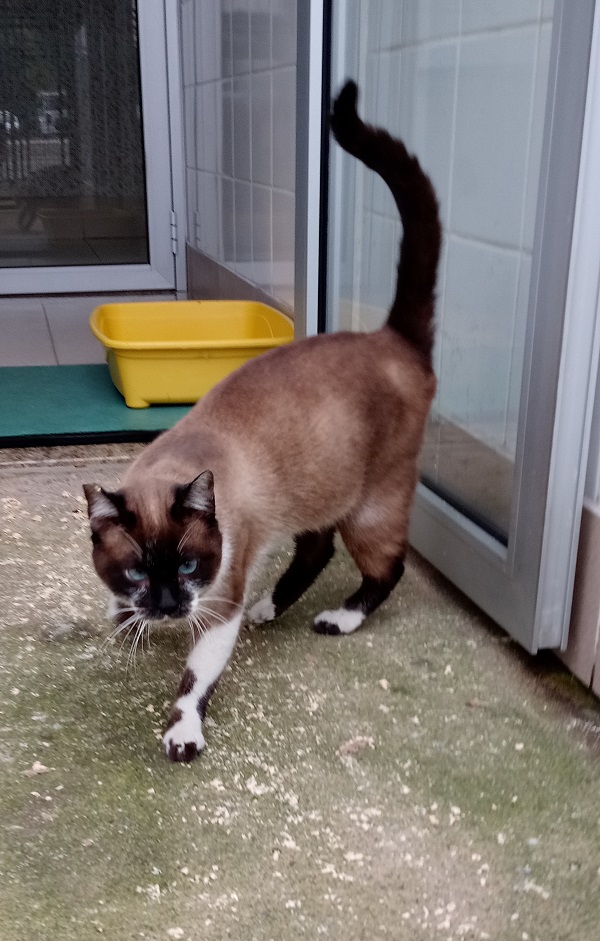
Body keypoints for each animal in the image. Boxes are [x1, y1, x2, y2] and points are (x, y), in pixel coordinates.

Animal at [82, 82, 440, 764]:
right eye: (137, 571)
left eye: (187, 569)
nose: (168, 607)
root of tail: (391, 337)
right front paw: (126, 617)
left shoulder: (218, 602)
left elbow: (194, 681)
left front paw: (182, 733)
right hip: (318, 489)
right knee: (316, 547)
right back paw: (269, 607)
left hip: (369, 505)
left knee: (386, 566)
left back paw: (338, 619)